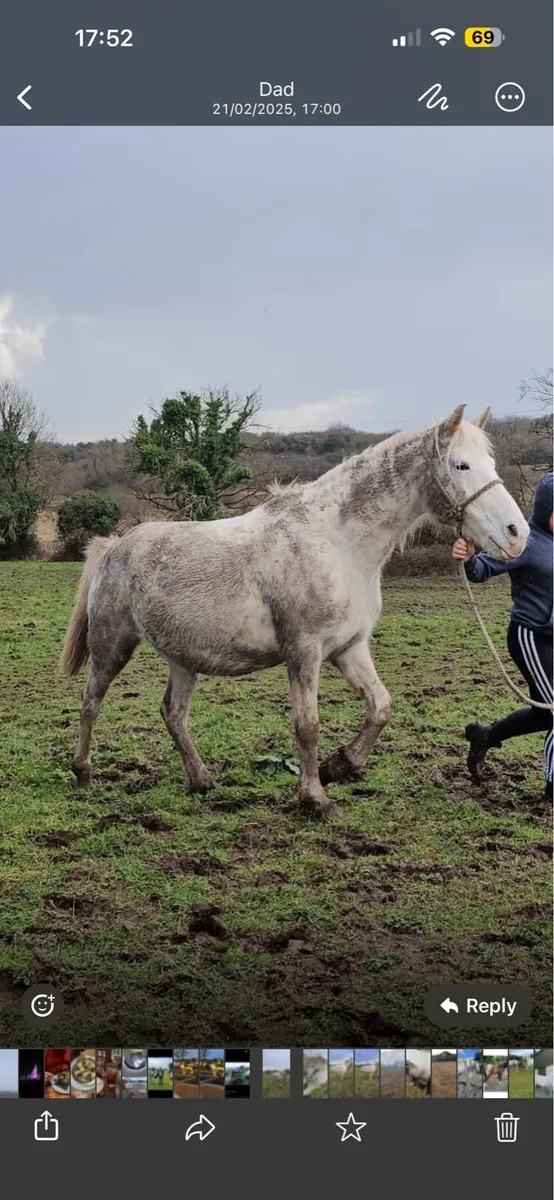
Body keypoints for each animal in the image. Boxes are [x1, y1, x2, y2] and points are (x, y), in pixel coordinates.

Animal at [60, 404, 528, 816]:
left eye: (488, 461)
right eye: (462, 465)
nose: (516, 533)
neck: (337, 544)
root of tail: (114, 546)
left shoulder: (350, 648)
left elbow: (380, 707)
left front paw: (339, 766)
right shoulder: (304, 651)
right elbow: (308, 725)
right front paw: (315, 799)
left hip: (184, 658)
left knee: (174, 715)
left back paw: (202, 780)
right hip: (113, 646)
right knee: (91, 702)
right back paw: (83, 775)